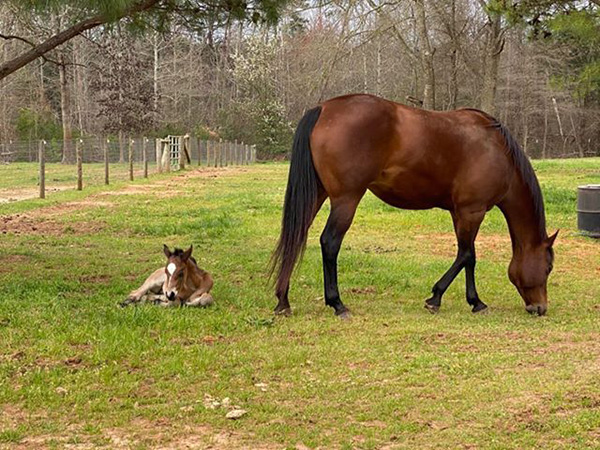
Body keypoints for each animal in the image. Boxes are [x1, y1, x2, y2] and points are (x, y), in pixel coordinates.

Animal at [272, 93, 556, 318]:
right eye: (548, 267)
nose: (540, 308)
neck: (498, 151)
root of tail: (323, 109)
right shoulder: (472, 211)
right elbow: (466, 255)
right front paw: (438, 298)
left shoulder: (460, 212)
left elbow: (469, 256)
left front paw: (474, 302)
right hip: (346, 199)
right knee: (330, 243)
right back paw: (337, 304)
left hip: (318, 194)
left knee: (295, 237)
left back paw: (283, 301)